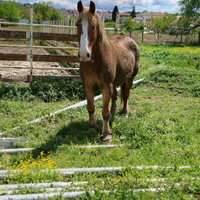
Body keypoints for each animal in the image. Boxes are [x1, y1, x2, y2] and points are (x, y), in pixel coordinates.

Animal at [76, 1, 140, 142]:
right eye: (77, 25)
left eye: (93, 26)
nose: (83, 54)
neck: (95, 62)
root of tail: (131, 41)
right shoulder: (87, 86)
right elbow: (91, 107)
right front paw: (92, 127)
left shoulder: (106, 87)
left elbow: (105, 112)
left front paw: (106, 134)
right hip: (115, 83)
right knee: (115, 96)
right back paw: (114, 112)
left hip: (130, 79)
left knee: (125, 96)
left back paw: (124, 113)